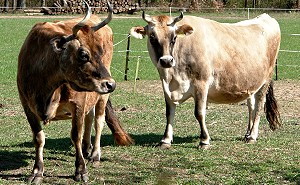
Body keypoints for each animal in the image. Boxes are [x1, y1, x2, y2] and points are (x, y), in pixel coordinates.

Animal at [17, 1, 132, 184]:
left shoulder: (77, 103)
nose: (110, 84)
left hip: (101, 96)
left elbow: (75, 135)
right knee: (90, 117)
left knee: (98, 121)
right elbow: (38, 137)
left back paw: (95, 155)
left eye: (101, 51)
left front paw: (80, 170)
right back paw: (86, 147)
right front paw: (37, 171)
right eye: (83, 54)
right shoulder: (26, 105)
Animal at [131, 12, 282, 149]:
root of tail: (265, 17)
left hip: (265, 80)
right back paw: (247, 133)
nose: (166, 61)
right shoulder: (166, 85)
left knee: (259, 106)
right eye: (152, 37)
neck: (173, 75)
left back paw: (252, 136)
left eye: (174, 37)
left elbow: (199, 112)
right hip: (250, 83)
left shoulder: (201, 83)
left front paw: (204, 140)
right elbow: (169, 112)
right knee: (251, 106)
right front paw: (166, 140)